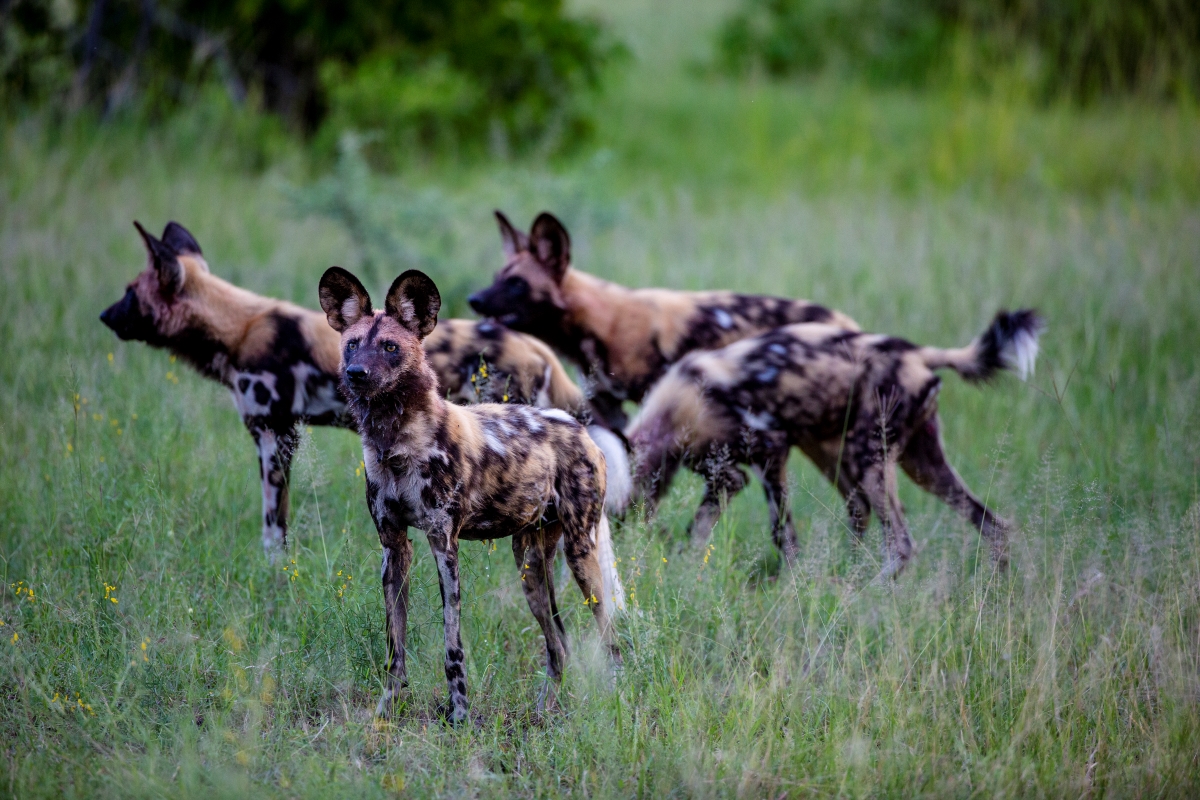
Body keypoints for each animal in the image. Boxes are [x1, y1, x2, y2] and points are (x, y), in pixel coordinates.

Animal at [99, 219, 628, 556]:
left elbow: (273, 526)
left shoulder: (274, 436)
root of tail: (537, 347)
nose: (103, 316)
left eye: (128, 293)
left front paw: (273, 570)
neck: (239, 328)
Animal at [314, 266, 624, 724]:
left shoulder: (444, 544)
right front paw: (388, 708)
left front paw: (459, 713)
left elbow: (452, 645)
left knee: (610, 638)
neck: (395, 441)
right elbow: (394, 647)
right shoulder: (394, 547)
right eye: (352, 344)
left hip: (582, 557)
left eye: (390, 347)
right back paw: (543, 713)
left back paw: (619, 697)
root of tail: (578, 427)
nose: (355, 373)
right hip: (530, 564)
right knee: (558, 645)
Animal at [465, 208, 864, 431]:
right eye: (498, 277)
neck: (597, 325)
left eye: (517, 284)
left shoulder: (652, 399)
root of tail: (846, 322)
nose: (474, 299)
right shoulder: (608, 406)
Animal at [624, 309, 1046, 578]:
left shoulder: (770, 455)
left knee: (901, 544)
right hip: (915, 464)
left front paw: (793, 585)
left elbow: (783, 536)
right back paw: (996, 591)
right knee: (992, 525)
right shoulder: (725, 476)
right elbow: (698, 530)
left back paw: (865, 593)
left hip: (869, 461)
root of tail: (918, 352)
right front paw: (687, 574)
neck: (678, 405)